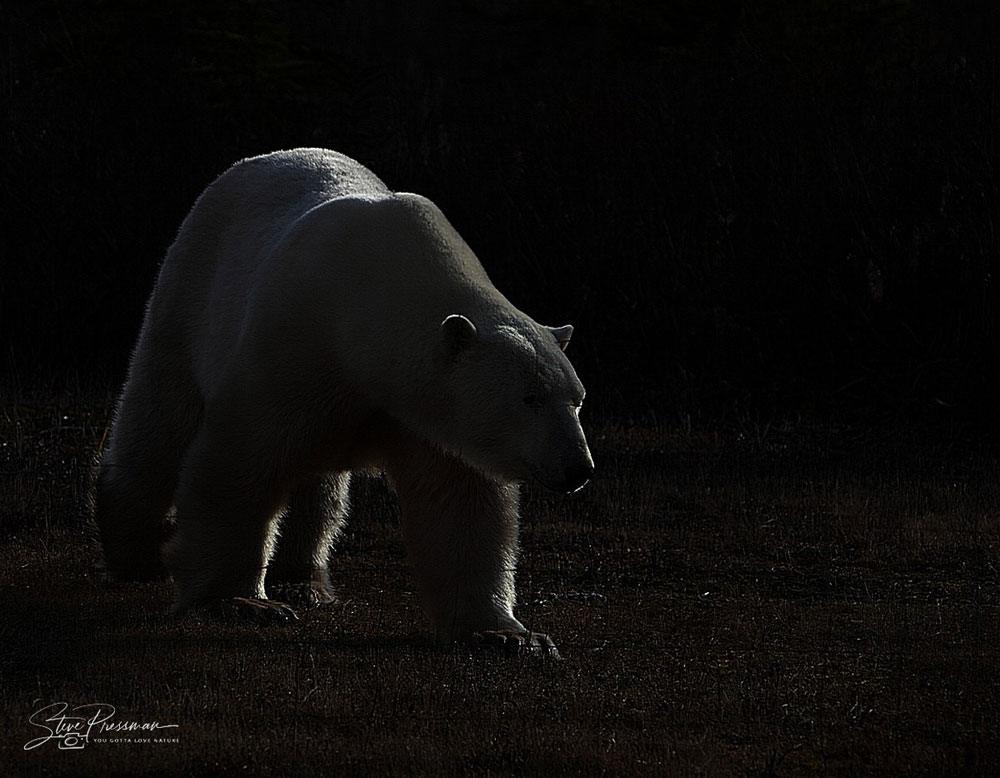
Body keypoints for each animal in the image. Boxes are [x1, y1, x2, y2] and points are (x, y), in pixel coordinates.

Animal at [94, 148, 593, 654]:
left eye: (577, 400)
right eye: (530, 398)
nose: (578, 467)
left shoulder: (428, 419)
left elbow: (461, 504)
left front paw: (507, 635)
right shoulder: (294, 346)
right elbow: (238, 461)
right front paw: (241, 603)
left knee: (315, 487)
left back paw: (304, 577)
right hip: (189, 293)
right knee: (161, 423)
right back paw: (134, 549)